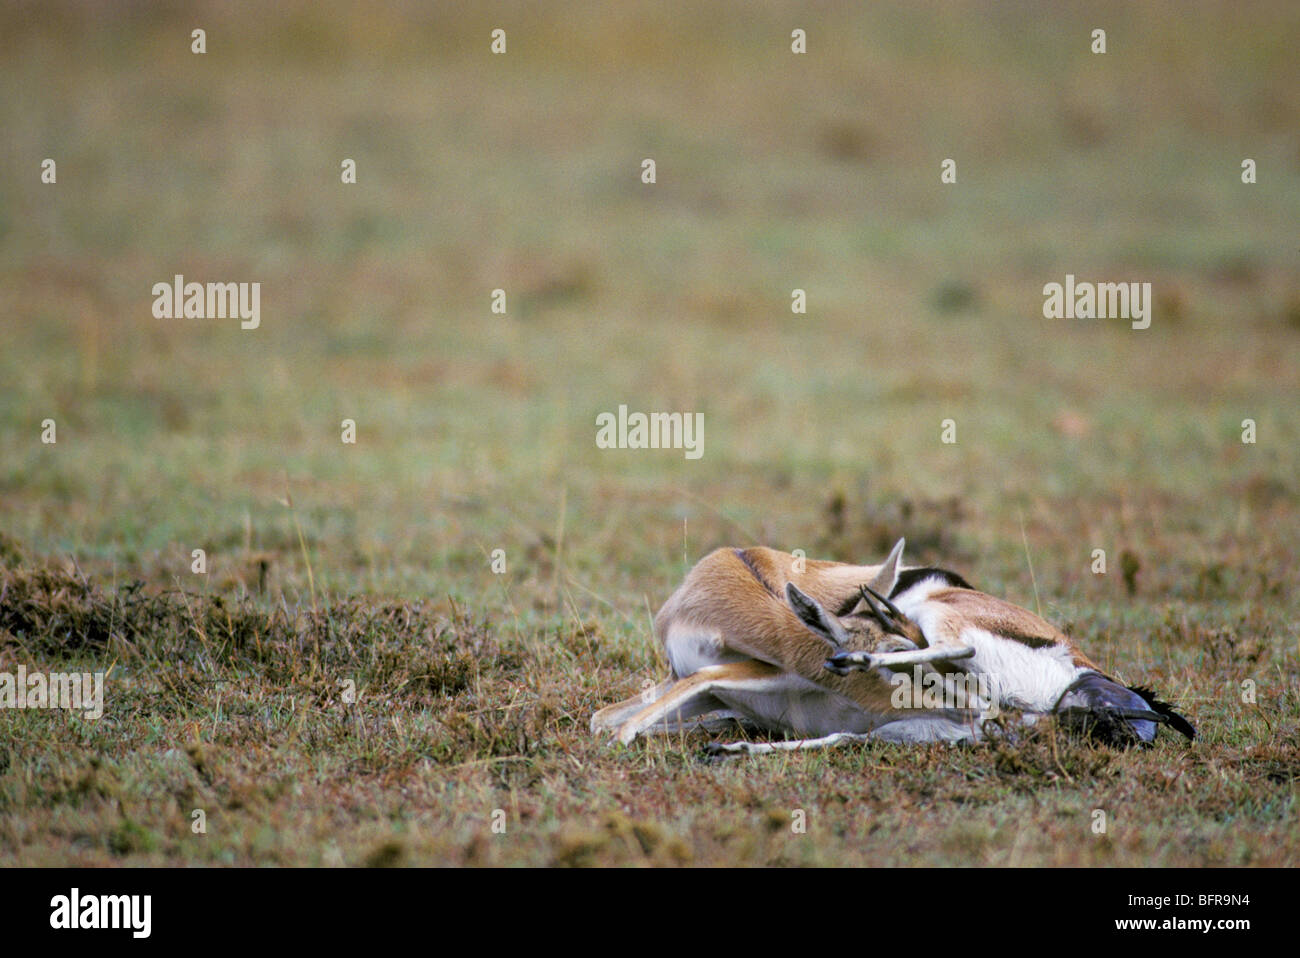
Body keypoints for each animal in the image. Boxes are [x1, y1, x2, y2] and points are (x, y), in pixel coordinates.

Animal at [590, 540, 1194, 754]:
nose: (840, 662)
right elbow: (604, 717)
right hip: (938, 725)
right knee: (852, 737)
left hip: (944, 632)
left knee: (965, 666)